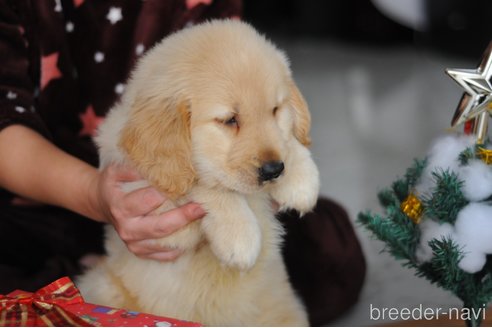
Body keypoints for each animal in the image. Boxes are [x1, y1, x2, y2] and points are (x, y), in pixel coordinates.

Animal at [78, 19, 320, 326]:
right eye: (230, 120)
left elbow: (286, 142)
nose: (274, 170)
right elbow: (206, 184)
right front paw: (240, 236)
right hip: (102, 284)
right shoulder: (153, 213)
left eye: (275, 110)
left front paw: (301, 179)